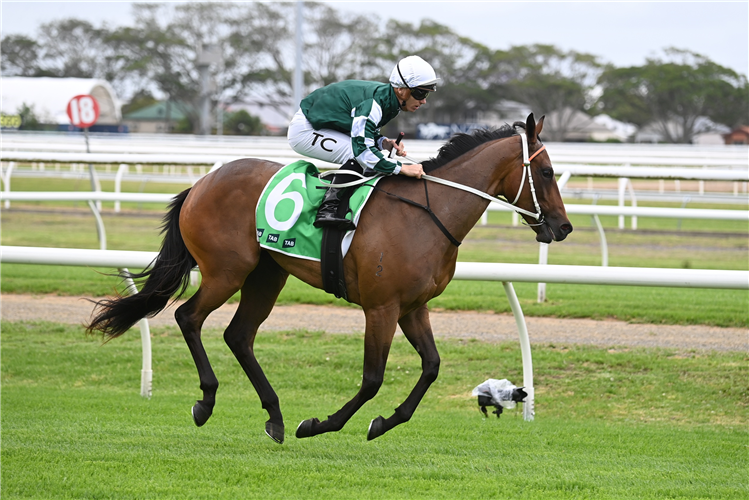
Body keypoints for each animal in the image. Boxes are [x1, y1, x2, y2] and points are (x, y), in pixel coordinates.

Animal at [84, 112, 568, 442]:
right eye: (546, 172)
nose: (563, 228)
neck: (428, 215)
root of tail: (201, 183)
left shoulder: (412, 306)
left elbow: (431, 367)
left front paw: (383, 422)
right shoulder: (381, 307)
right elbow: (372, 378)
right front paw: (320, 424)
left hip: (266, 275)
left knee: (238, 335)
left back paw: (275, 416)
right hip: (227, 270)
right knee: (189, 318)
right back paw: (207, 402)